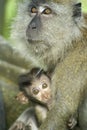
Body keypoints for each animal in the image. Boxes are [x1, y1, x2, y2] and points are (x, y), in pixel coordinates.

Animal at [9, 0, 87, 129]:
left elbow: (61, 109)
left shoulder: (76, 62)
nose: (31, 26)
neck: (71, 42)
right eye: (33, 10)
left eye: (47, 11)